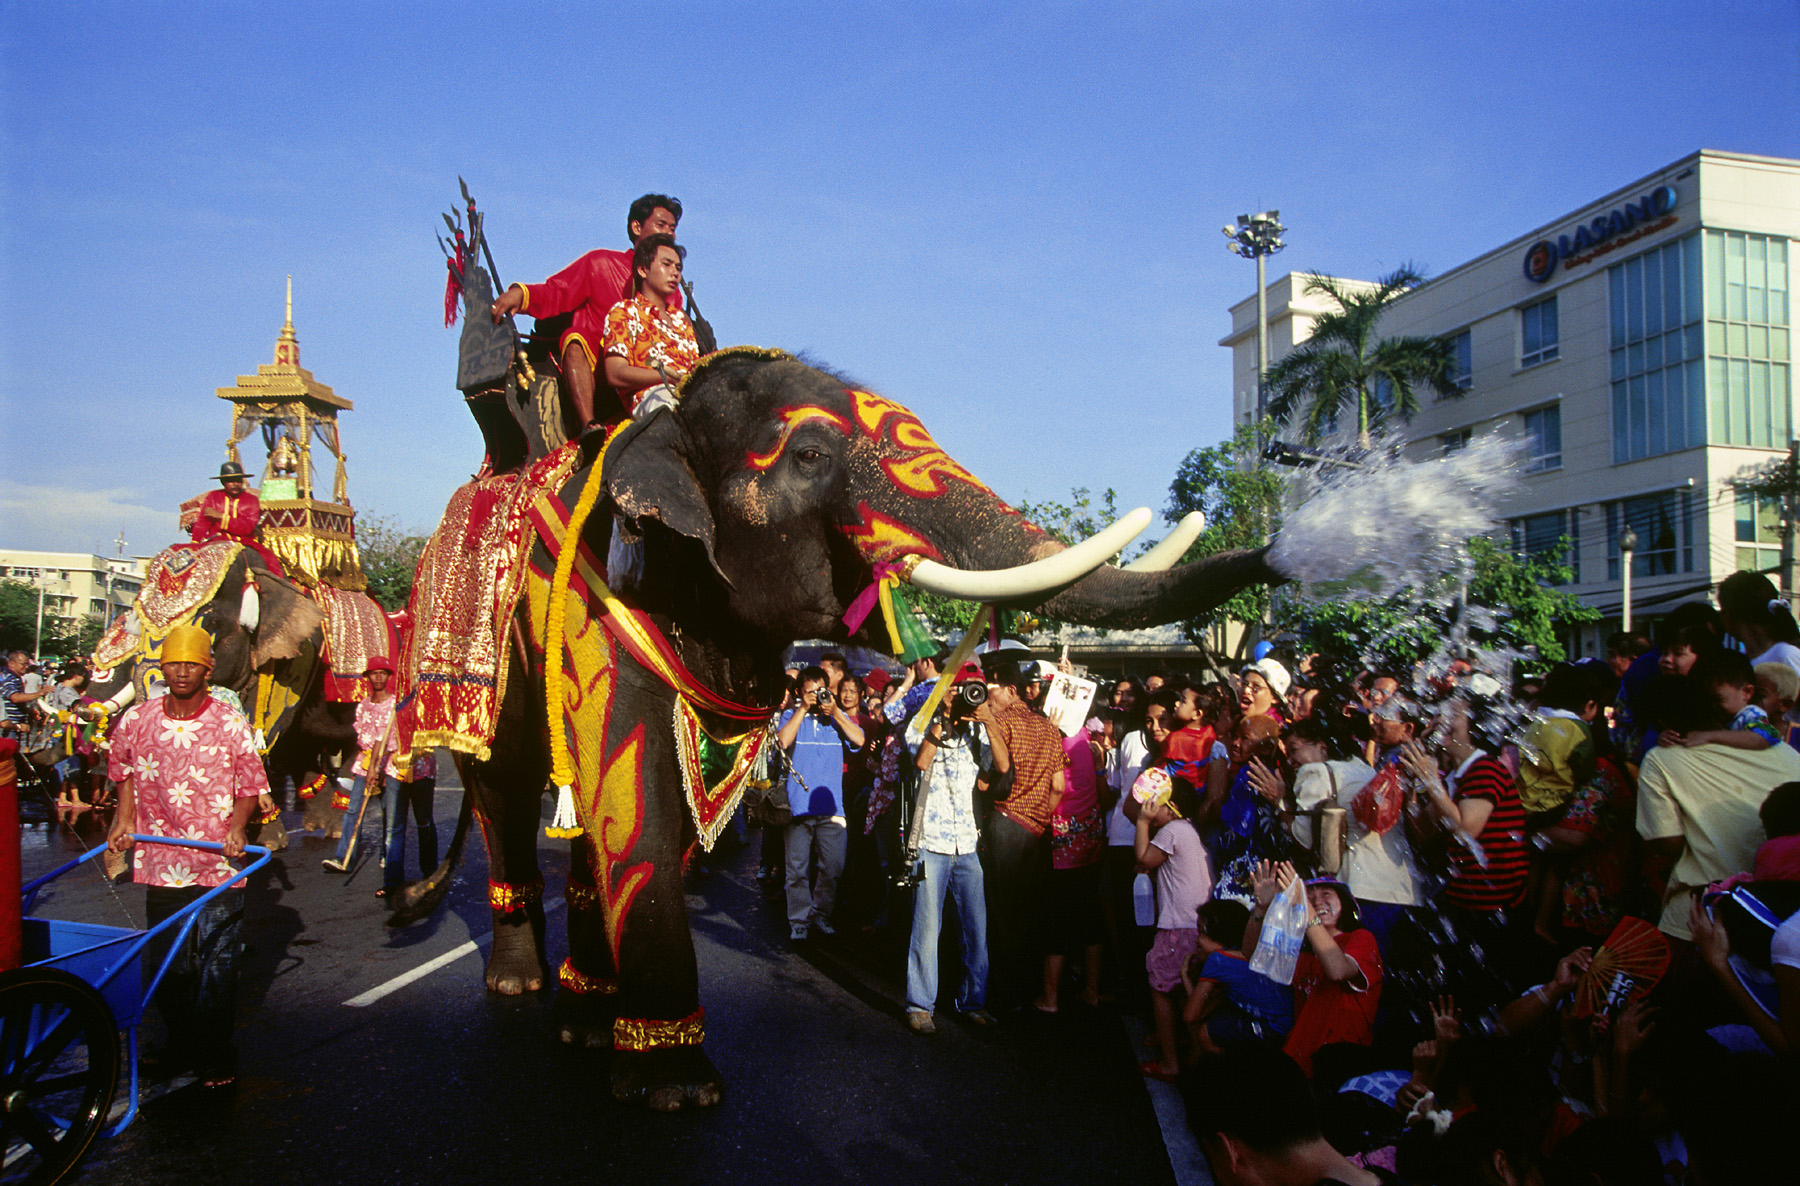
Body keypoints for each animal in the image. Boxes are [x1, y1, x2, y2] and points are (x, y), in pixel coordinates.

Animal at [432, 345, 1281, 1115]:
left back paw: (581, 1016)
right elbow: (634, 790)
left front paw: (641, 1053)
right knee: (501, 788)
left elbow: (654, 807)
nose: (1276, 550)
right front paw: (674, 1088)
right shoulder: (596, 606)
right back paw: (519, 982)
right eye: (810, 457)